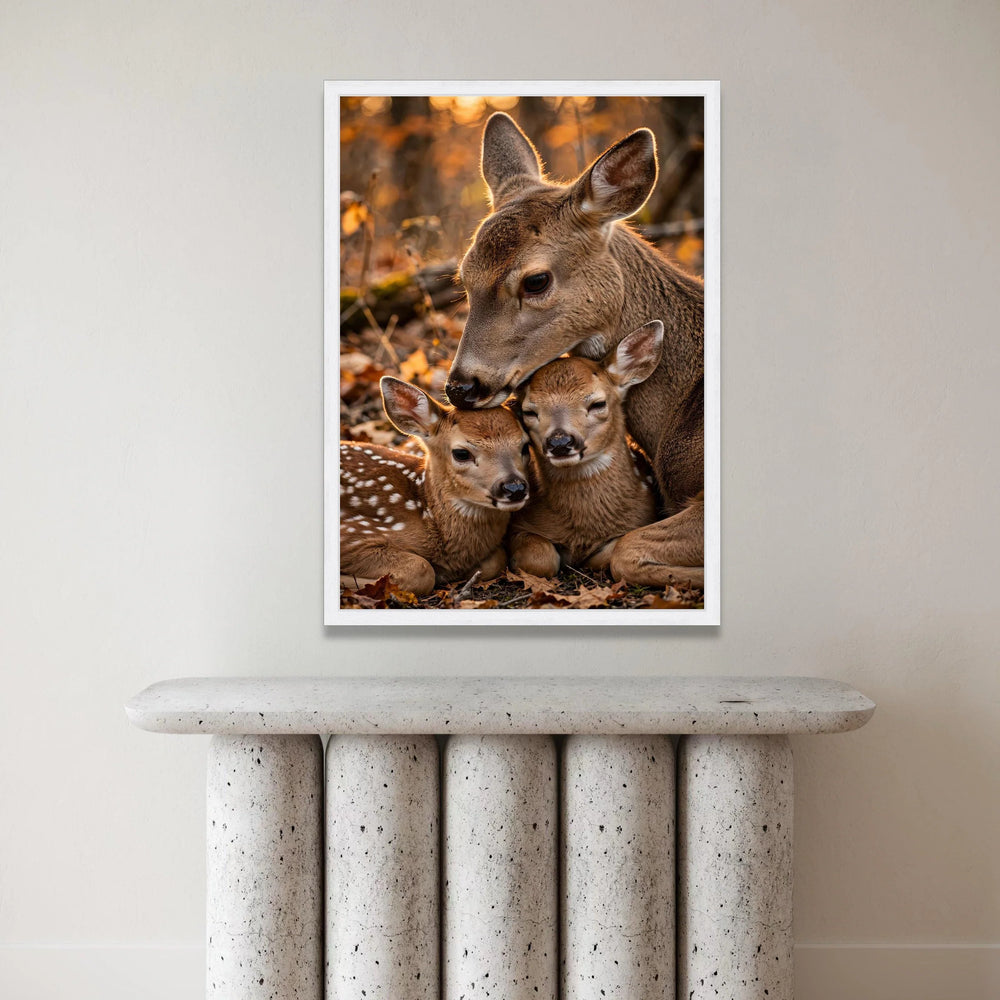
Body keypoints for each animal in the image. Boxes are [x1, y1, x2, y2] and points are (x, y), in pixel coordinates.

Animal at [340, 376, 530, 597]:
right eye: (461, 453)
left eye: (525, 446)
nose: (514, 488)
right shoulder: (353, 533)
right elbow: (421, 570)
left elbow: (496, 560)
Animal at [509, 321, 662, 578]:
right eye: (528, 411)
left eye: (598, 404)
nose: (560, 443)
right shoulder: (519, 524)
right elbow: (541, 558)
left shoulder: (641, 518)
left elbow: (609, 554)